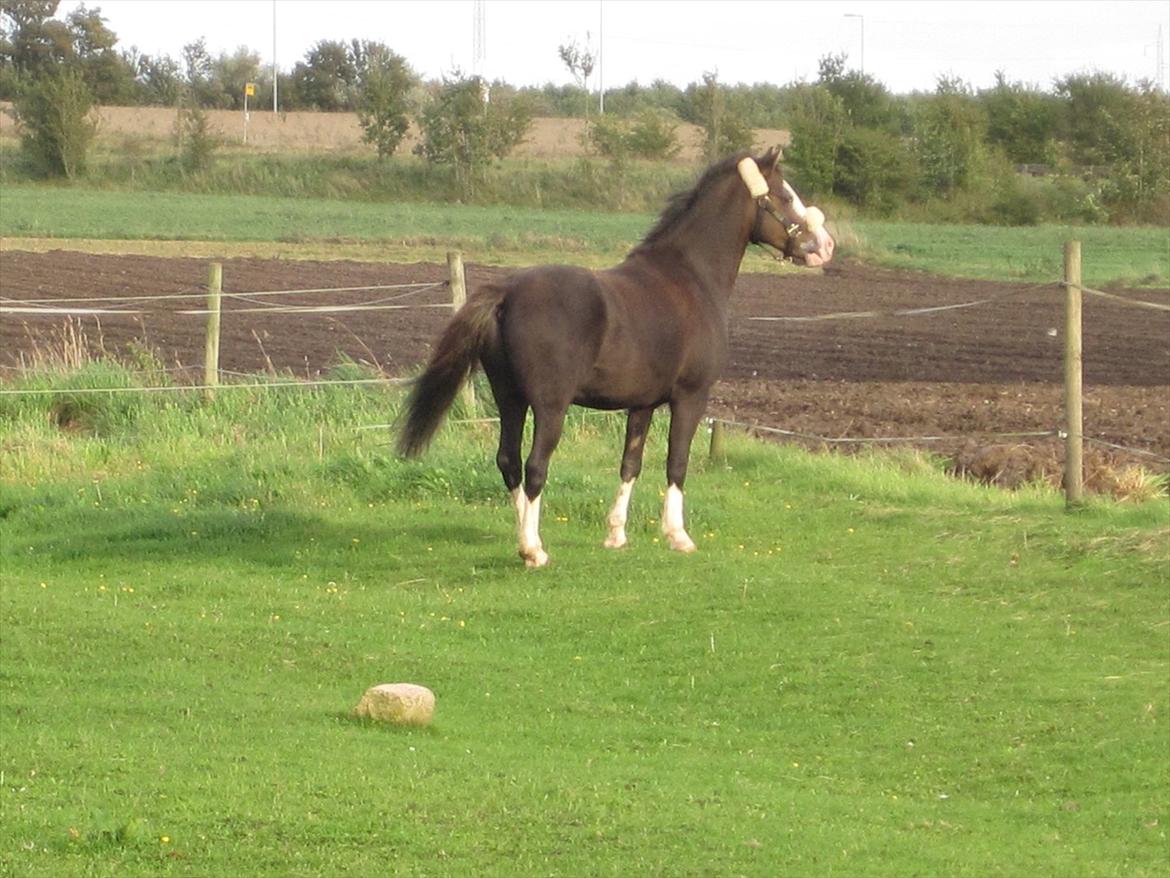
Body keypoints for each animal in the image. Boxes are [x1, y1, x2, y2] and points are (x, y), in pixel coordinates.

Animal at [400, 146, 833, 566]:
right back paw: (534, 550)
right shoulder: (690, 397)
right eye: (785, 196)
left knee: (508, 462)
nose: (825, 246)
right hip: (550, 406)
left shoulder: (642, 404)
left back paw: (524, 538)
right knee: (535, 466)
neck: (690, 277)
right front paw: (678, 536)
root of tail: (507, 292)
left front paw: (616, 534)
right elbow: (677, 462)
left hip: (510, 398)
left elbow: (630, 463)